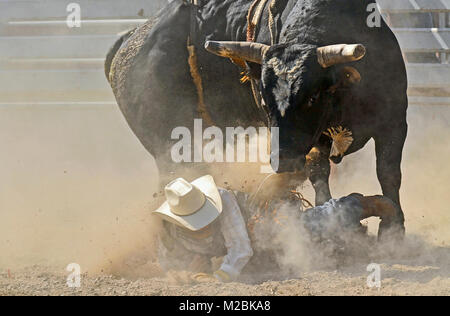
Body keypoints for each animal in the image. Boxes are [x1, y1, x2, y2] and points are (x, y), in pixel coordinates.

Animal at [105, 0, 408, 236]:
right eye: (264, 100)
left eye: (312, 97)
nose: (283, 159)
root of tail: (130, 40)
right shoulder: (316, 140)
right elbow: (319, 172)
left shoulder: (395, 122)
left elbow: (388, 172)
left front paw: (393, 231)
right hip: (167, 144)